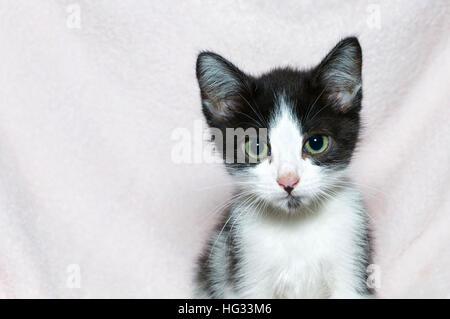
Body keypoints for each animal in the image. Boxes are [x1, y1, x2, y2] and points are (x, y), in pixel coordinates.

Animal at [193, 37, 372, 300]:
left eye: (316, 143)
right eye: (255, 146)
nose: (288, 181)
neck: (295, 226)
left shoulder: (352, 255)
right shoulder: (245, 265)